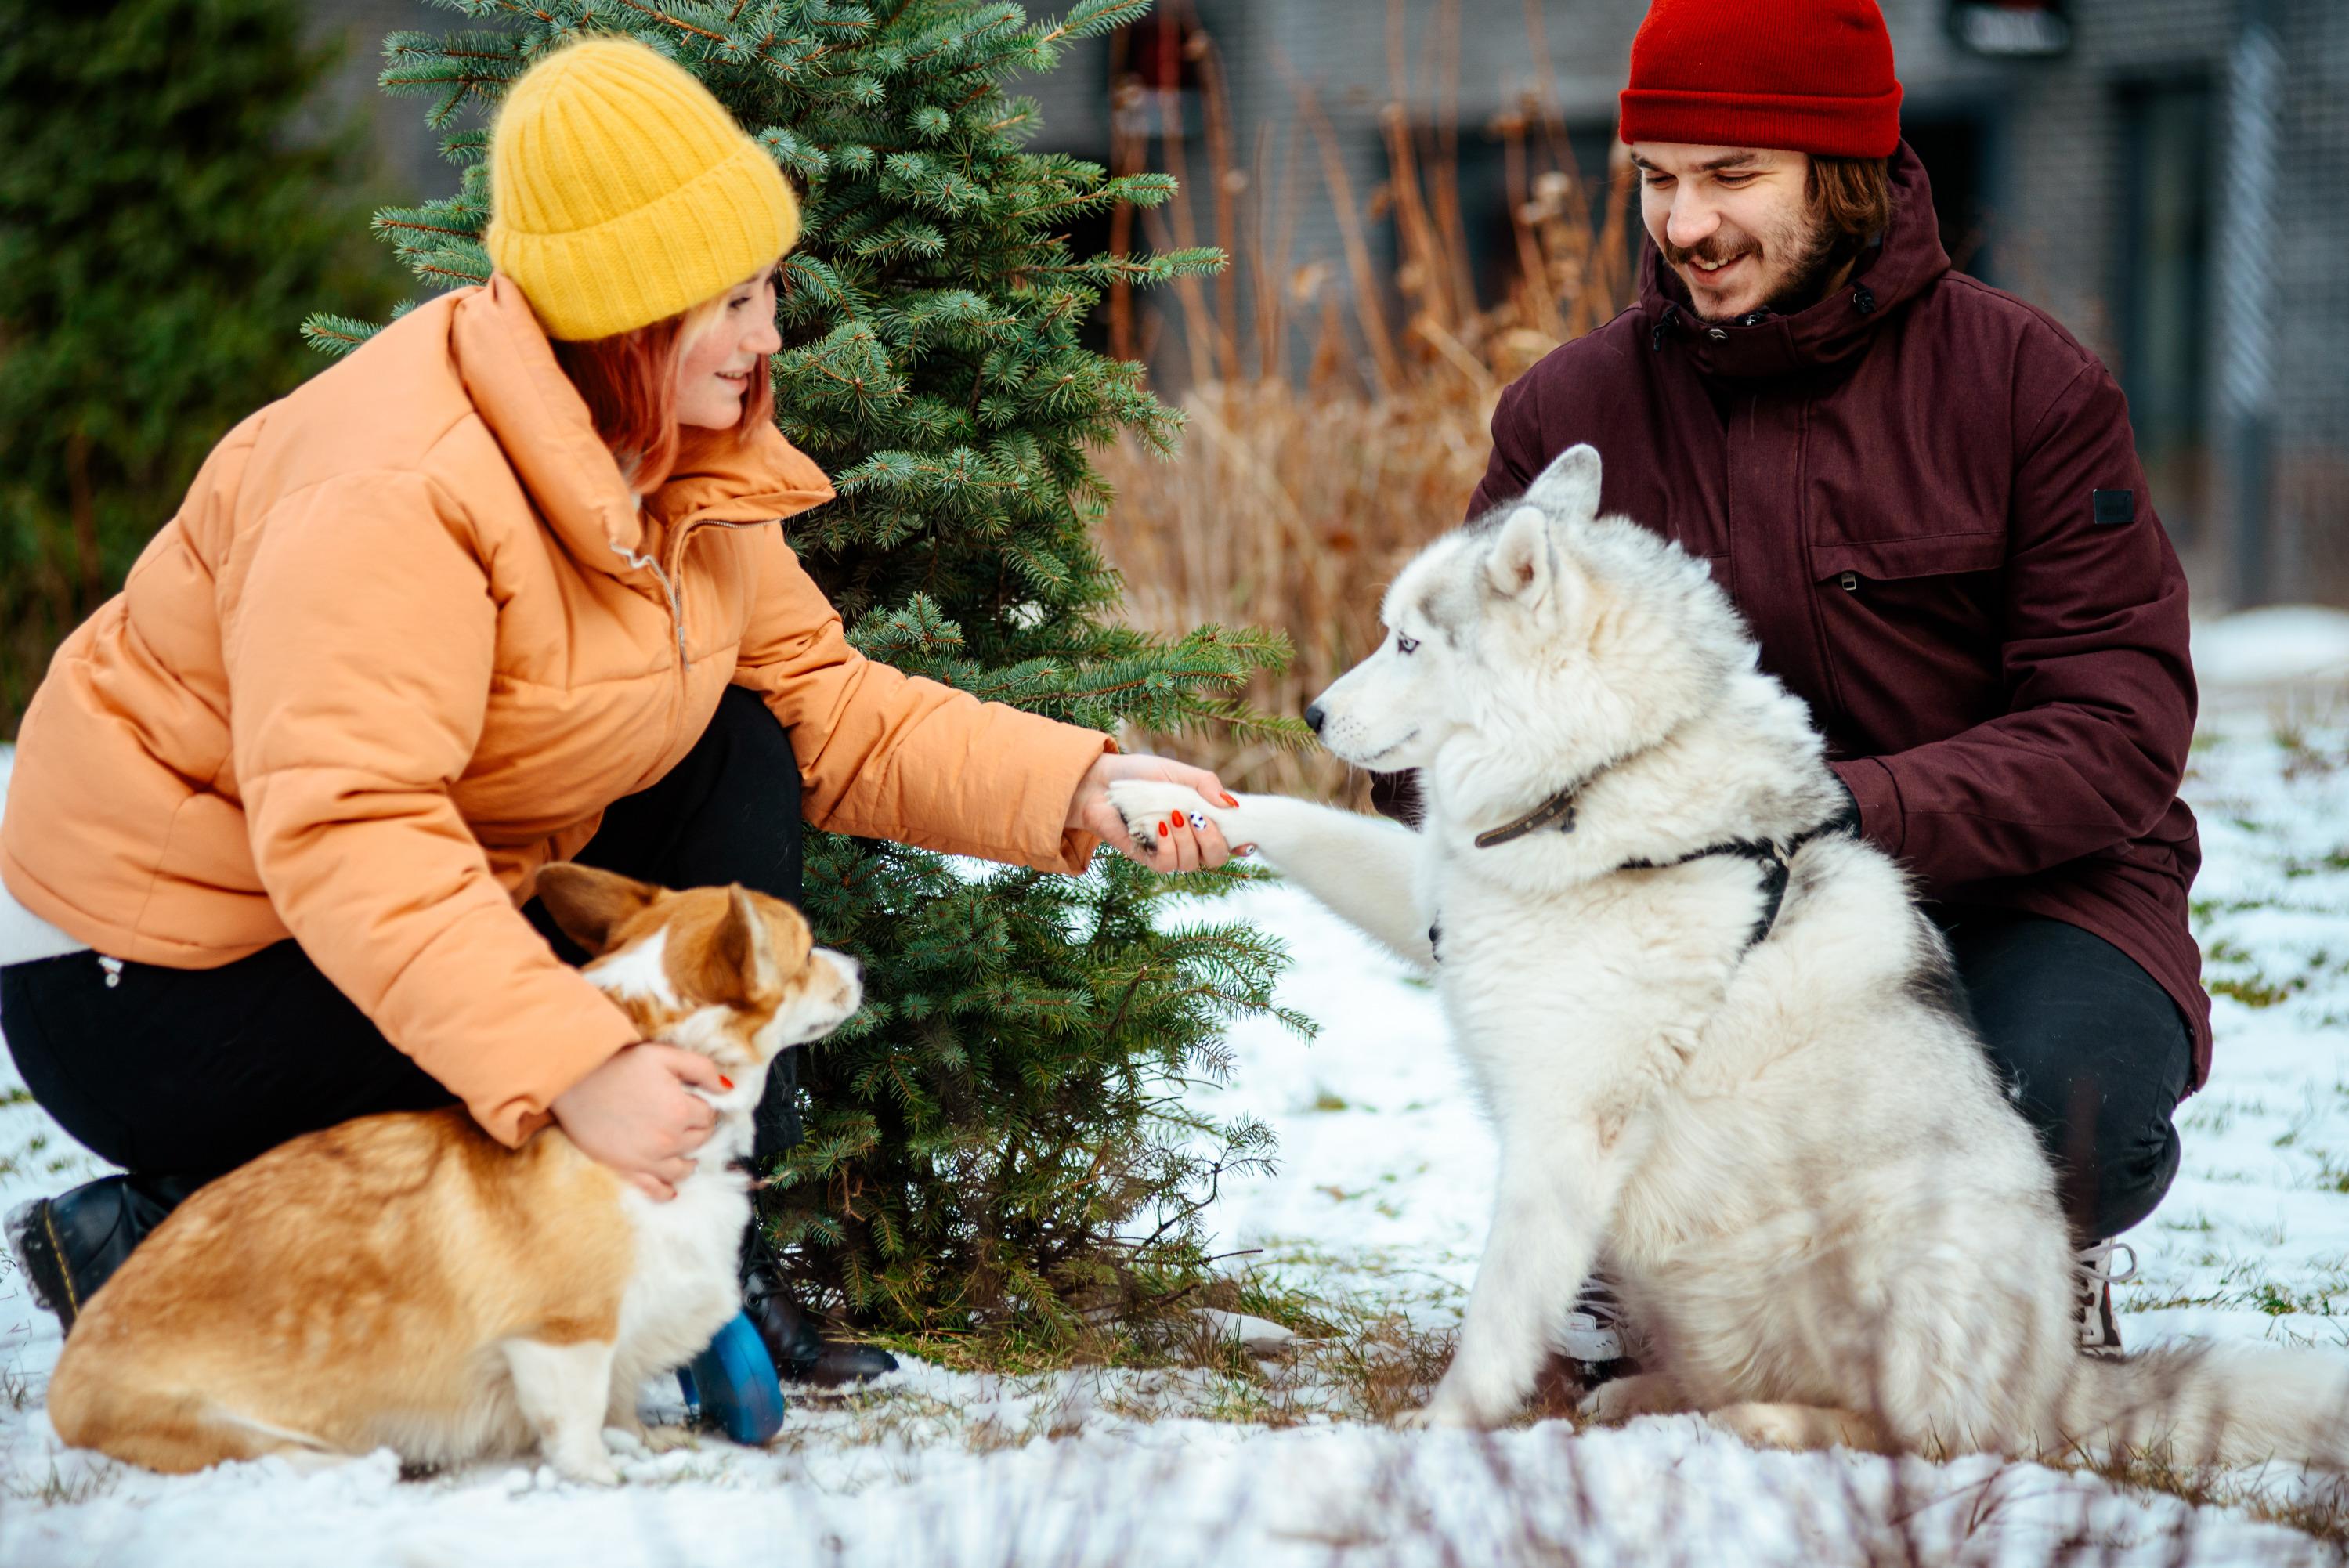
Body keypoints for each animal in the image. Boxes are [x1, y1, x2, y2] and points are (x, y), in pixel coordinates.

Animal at [45, 863, 869, 1493]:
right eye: (804, 952)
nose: (864, 967)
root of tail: (64, 1386)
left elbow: (620, 1400)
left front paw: (644, 1440)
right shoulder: (562, 1335)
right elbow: (578, 1419)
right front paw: (602, 1476)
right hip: (221, 1424)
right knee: (271, 1457)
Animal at [1113, 446, 2349, 1465]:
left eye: (1409, 642)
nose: (1315, 714)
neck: (1601, 778)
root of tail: (2057, 1377)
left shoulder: (1561, 1128)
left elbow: (1497, 1308)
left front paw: (1442, 1430)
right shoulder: (1436, 896)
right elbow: (1288, 818)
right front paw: (1154, 796)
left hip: (1909, 1266)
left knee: (1935, 1437)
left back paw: (1773, 1422)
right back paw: (1643, 1395)